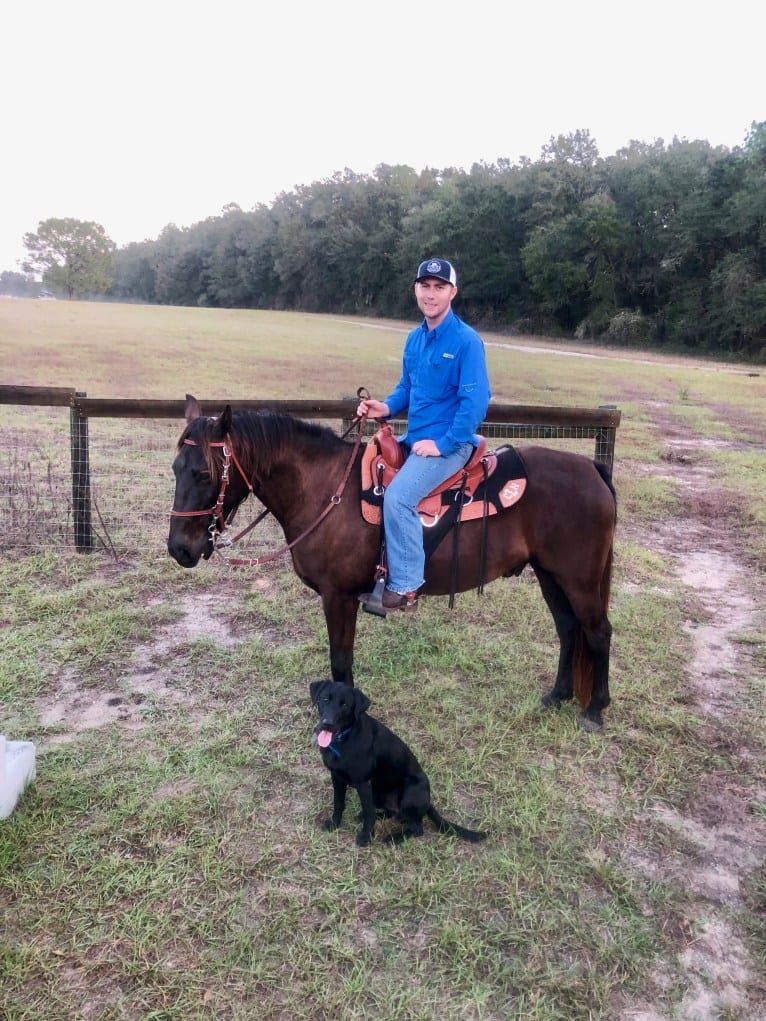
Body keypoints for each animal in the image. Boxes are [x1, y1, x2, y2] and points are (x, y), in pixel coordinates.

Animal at [166, 394, 616, 731]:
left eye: (204, 473)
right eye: (175, 469)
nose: (179, 549)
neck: (325, 489)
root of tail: (593, 469)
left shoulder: (339, 597)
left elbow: (340, 663)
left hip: (579, 580)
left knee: (597, 633)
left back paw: (594, 710)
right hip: (550, 574)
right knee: (568, 629)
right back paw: (557, 696)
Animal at [310, 677, 486, 845]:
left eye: (345, 705)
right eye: (325, 699)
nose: (327, 723)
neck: (343, 740)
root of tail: (428, 801)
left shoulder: (363, 783)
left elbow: (368, 813)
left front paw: (366, 837)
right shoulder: (336, 777)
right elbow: (339, 804)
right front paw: (334, 824)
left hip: (410, 788)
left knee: (417, 828)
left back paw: (394, 838)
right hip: (378, 793)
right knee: (392, 813)